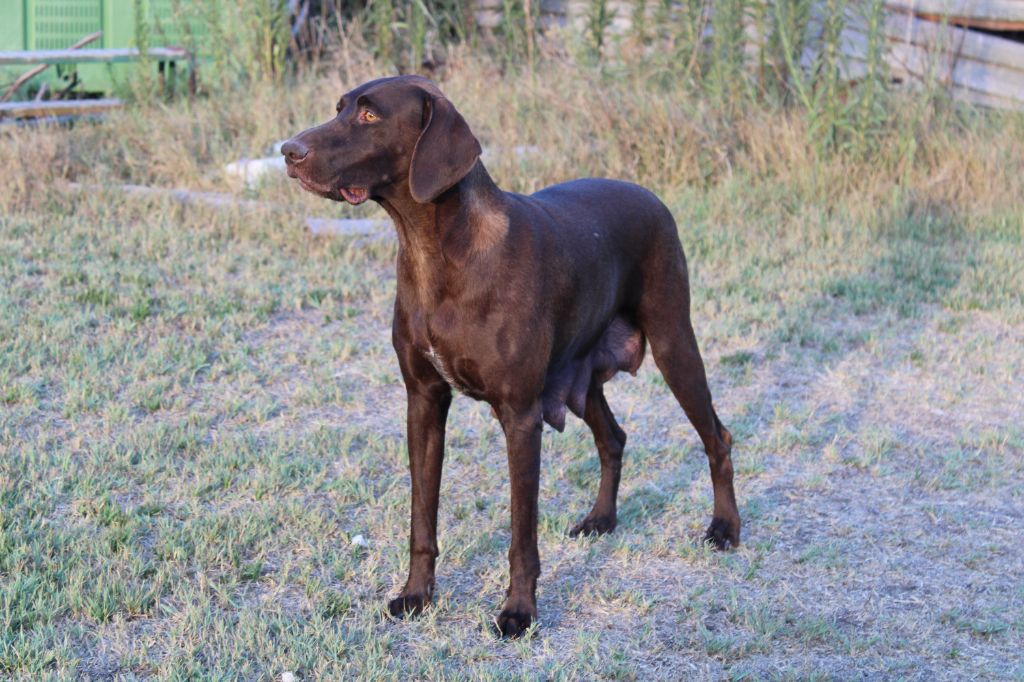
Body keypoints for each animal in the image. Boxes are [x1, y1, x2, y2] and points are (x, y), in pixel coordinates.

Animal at [284, 75, 741, 638]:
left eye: (370, 116)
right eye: (340, 108)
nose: (288, 151)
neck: (436, 252)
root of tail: (650, 195)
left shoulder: (521, 417)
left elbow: (522, 534)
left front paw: (519, 611)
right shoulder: (423, 402)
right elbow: (422, 517)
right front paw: (416, 595)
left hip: (675, 345)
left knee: (717, 438)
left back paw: (725, 528)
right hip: (581, 378)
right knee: (613, 438)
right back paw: (602, 520)